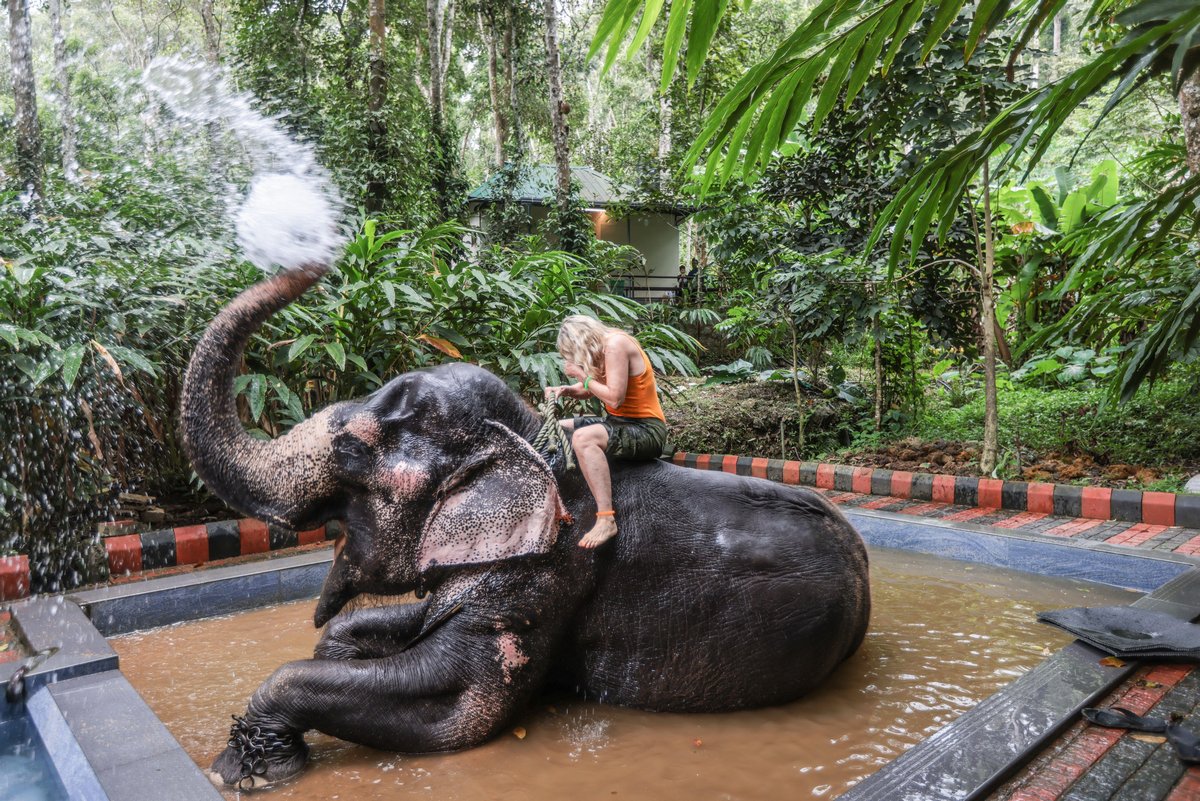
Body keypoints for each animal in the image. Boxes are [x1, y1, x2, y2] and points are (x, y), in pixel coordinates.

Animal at [180, 263, 873, 786]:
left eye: (352, 449)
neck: (528, 439)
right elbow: (377, 629)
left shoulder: (548, 573)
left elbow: (457, 704)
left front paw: (243, 771)